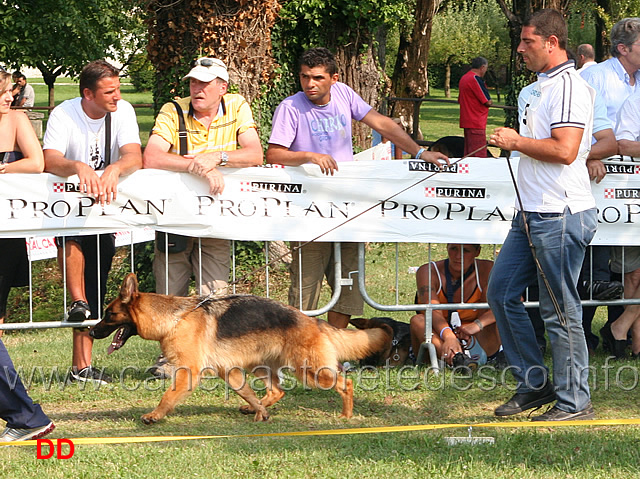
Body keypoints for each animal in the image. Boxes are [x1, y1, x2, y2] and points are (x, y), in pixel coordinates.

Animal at [88, 274, 392, 424]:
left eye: (109, 314)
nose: (90, 331)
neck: (175, 318)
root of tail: (312, 321)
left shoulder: (188, 373)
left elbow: (167, 397)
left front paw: (154, 416)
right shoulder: (230, 373)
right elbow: (248, 394)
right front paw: (259, 412)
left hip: (310, 371)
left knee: (345, 383)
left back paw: (346, 416)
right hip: (259, 367)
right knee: (277, 390)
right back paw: (255, 411)